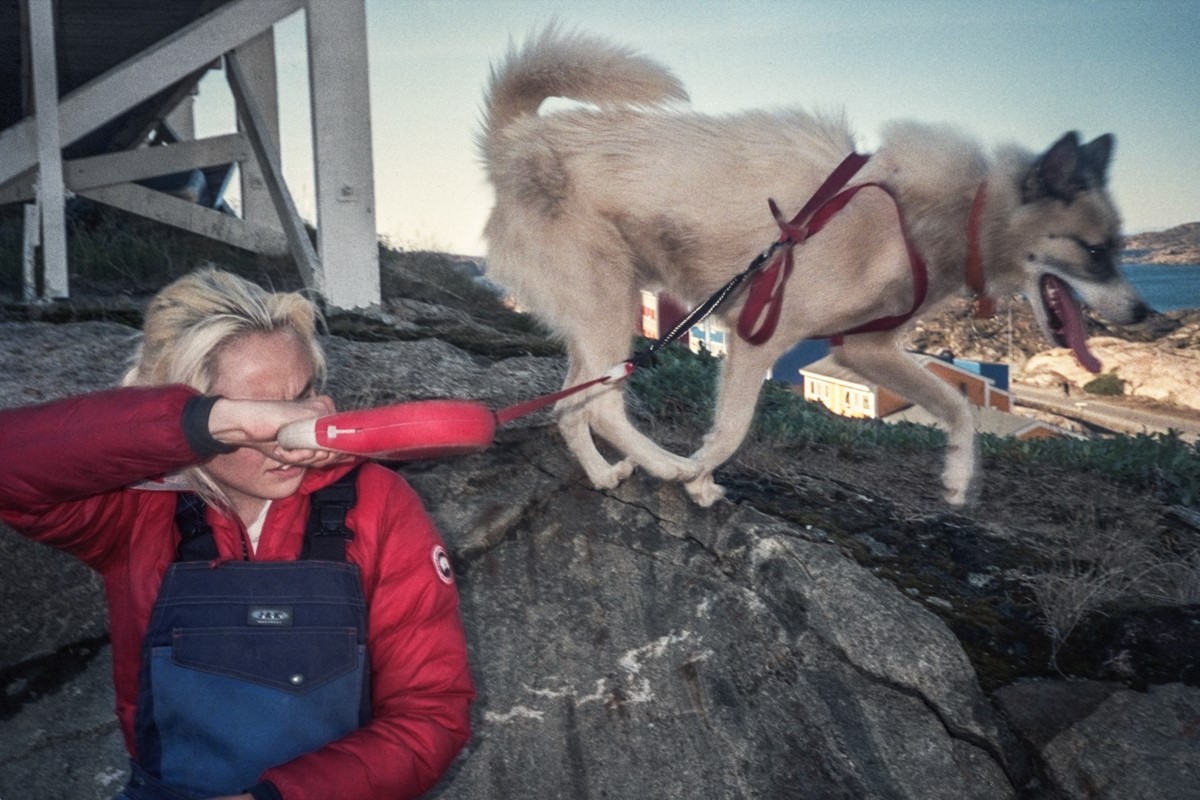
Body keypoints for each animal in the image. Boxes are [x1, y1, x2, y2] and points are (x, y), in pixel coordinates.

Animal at [480, 31, 1152, 510]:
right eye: (1097, 250)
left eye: (1120, 246)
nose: (1145, 312)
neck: (941, 214)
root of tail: (517, 140)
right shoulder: (759, 336)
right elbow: (731, 431)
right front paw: (698, 478)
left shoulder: (865, 350)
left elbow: (958, 406)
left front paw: (960, 477)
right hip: (610, 305)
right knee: (599, 407)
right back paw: (667, 465)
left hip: (599, 314)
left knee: (571, 405)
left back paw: (602, 475)